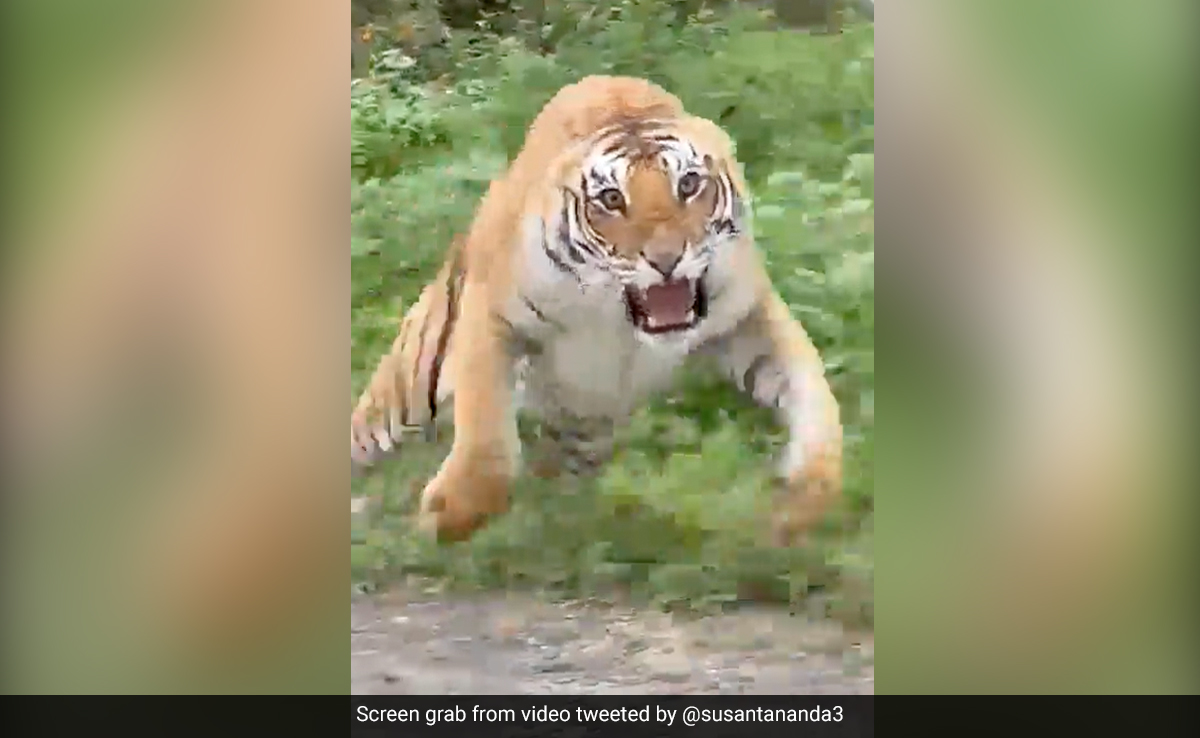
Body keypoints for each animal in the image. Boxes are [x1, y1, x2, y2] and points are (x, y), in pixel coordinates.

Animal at [350, 75, 843, 547]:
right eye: (611, 199)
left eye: (688, 185)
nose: (666, 259)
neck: (618, 318)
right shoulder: (492, 315)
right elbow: (485, 423)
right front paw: (452, 514)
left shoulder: (749, 312)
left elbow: (812, 391)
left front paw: (803, 499)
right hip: (403, 390)